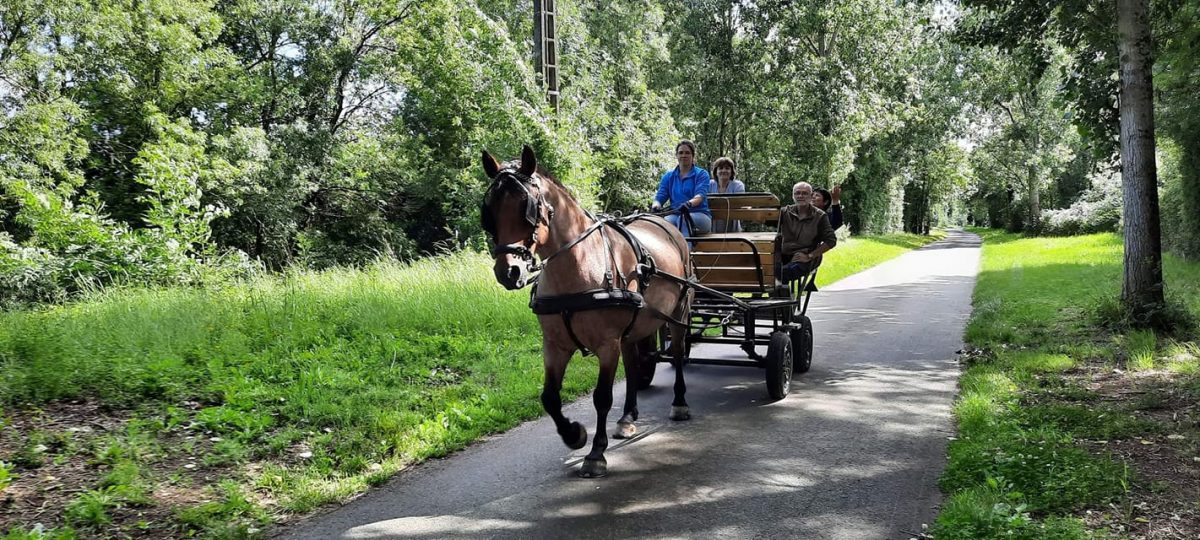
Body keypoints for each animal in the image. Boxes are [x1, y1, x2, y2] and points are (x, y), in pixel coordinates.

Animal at [480, 145, 696, 480]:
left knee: (677, 352)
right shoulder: (554, 345)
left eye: (528, 208)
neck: (580, 265)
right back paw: (627, 417)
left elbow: (602, 397)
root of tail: (670, 226)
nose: (509, 271)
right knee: (633, 364)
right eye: (489, 210)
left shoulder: (607, 345)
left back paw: (680, 402)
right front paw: (575, 434)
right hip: (634, 326)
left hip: (679, 313)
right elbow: (549, 397)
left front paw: (595, 453)